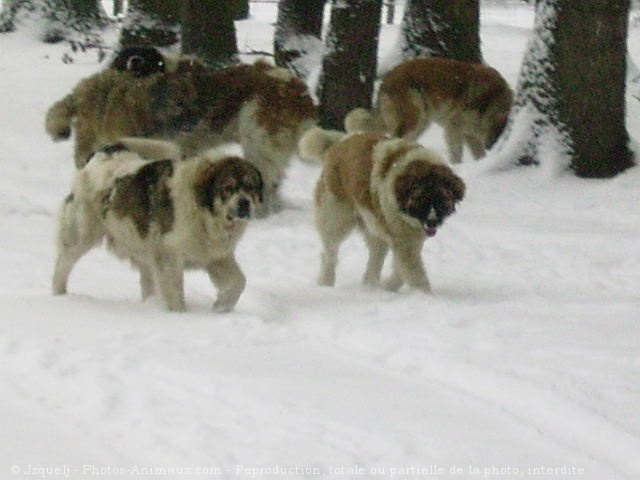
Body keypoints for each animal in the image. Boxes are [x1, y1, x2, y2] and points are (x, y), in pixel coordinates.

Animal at [51, 138, 264, 316]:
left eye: (251, 187)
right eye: (228, 188)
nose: (244, 204)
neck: (203, 210)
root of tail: (104, 152)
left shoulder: (215, 256)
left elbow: (239, 281)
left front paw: (221, 305)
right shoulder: (169, 255)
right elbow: (175, 291)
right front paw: (181, 316)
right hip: (81, 233)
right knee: (63, 264)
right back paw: (60, 296)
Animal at [300, 127, 464, 292]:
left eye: (441, 201)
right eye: (420, 200)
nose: (432, 222)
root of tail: (339, 143)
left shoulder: (409, 239)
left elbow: (402, 270)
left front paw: (389, 286)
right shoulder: (404, 242)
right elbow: (414, 272)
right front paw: (424, 294)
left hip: (373, 226)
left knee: (375, 257)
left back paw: (371, 285)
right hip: (336, 218)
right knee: (330, 253)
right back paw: (326, 282)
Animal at [342, 56, 512, 163]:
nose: (493, 147)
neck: (491, 101)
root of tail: (388, 77)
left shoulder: (470, 135)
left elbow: (478, 155)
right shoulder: (454, 127)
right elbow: (456, 153)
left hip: (422, 123)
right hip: (414, 119)